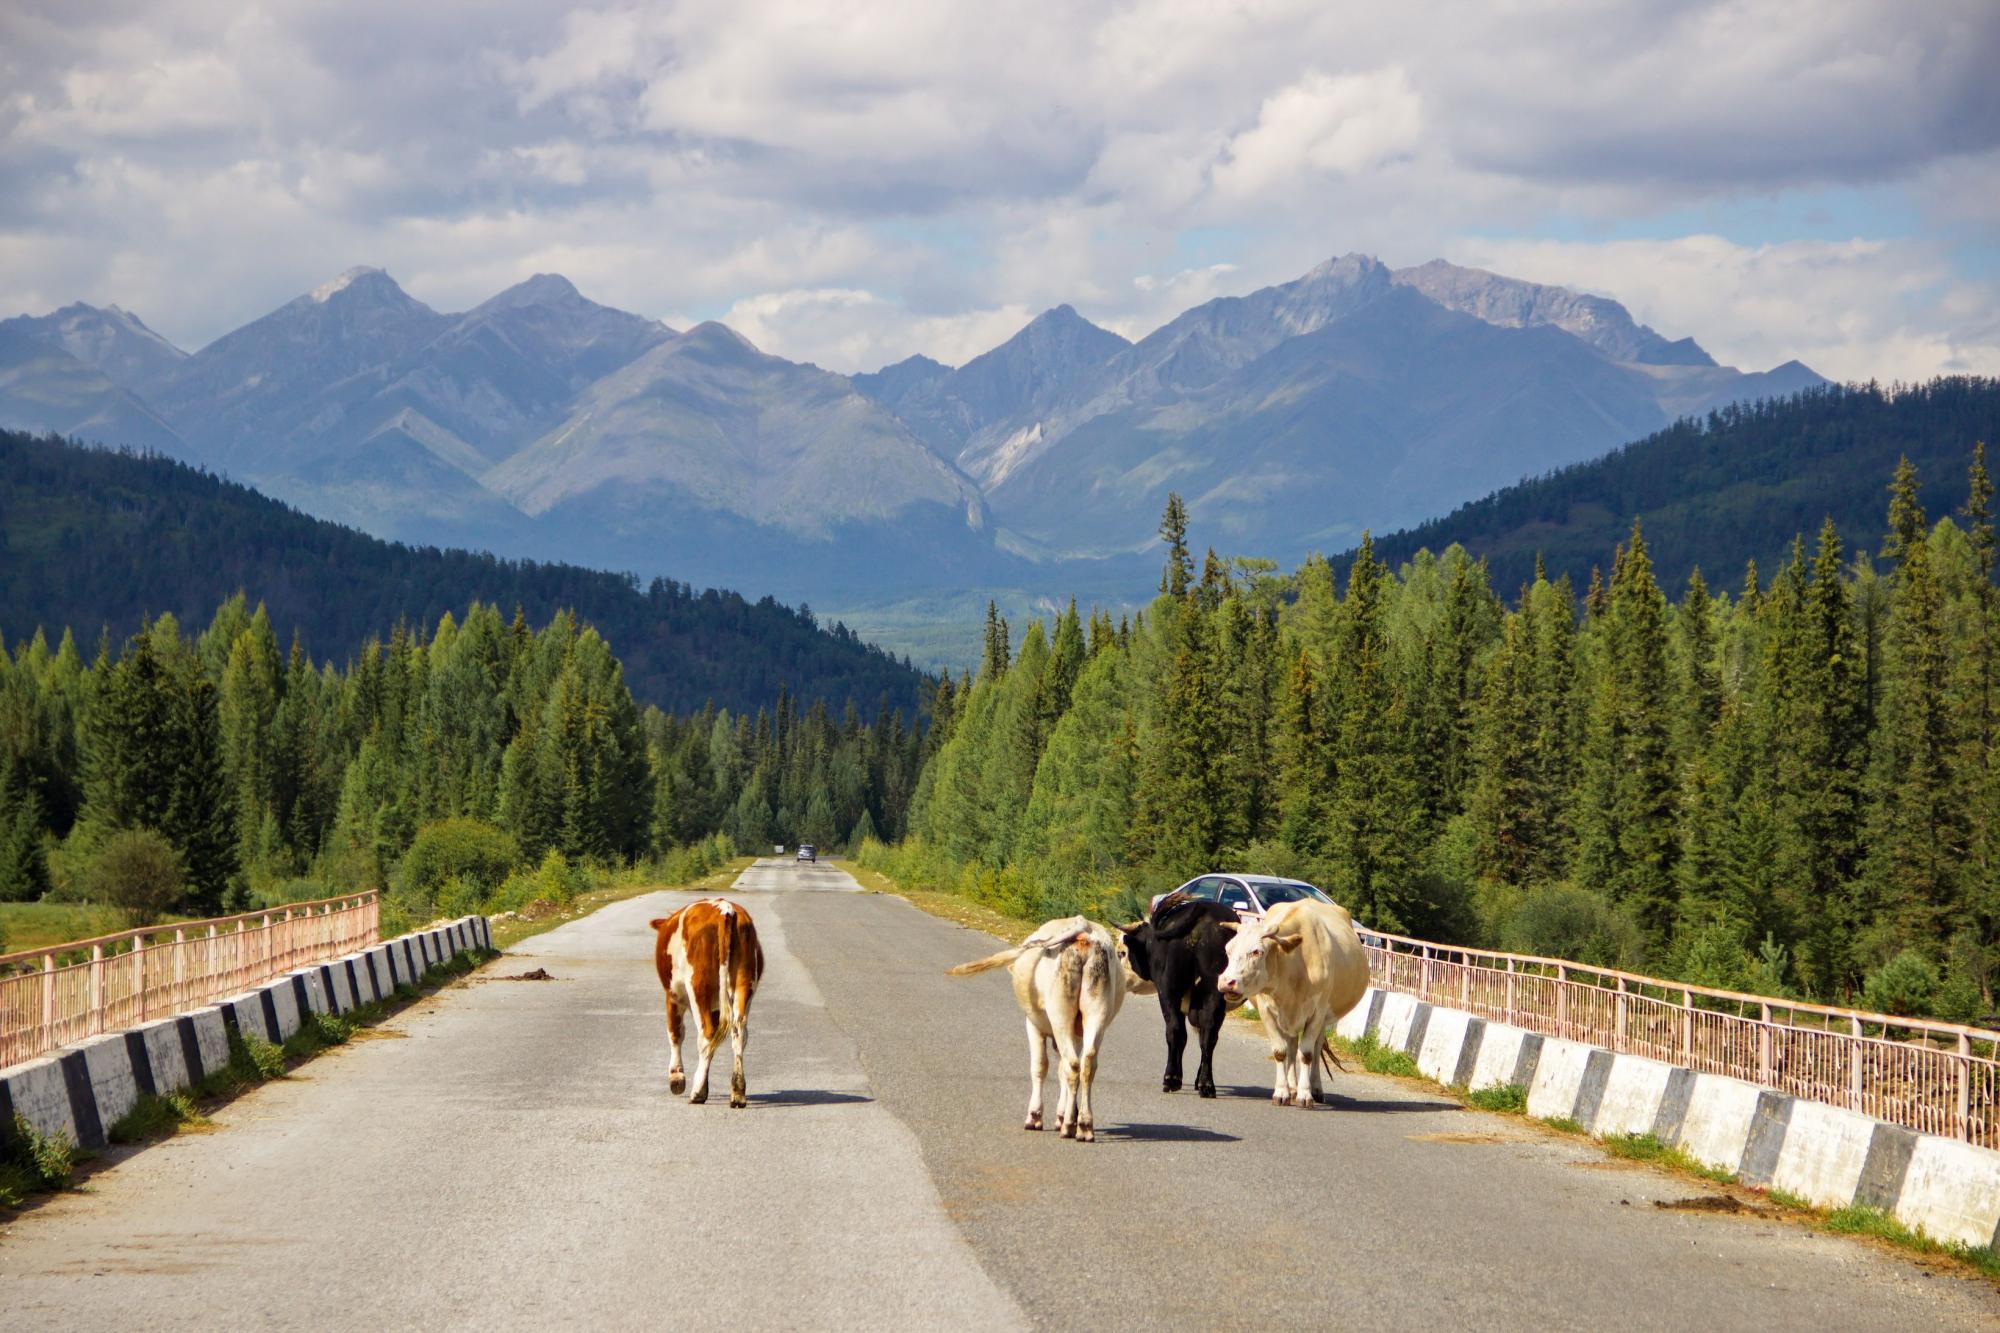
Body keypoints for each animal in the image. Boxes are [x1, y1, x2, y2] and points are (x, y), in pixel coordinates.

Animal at [652, 896, 760, 1104]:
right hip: (744, 983)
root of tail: (725, 909)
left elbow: (675, 1032)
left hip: (698, 987)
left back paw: (697, 1093)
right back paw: (737, 1092)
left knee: (707, 1033)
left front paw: (677, 1078)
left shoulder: (672, 995)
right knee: (739, 1031)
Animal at [952, 912, 1160, 1144]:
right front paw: (1062, 1115)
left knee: (1072, 1064)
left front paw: (1036, 1116)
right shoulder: (1077, 1034)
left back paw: (1070, 1125)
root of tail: (1084, 928)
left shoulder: (1033, 1025)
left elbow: (1040, 1067)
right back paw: (1084, 1125)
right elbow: (1062, 1071)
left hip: (1060, 1016)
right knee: (1086, 1064)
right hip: (1096, 1013)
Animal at [1120, 892, 1240, 1088]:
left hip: (1169, 990)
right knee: (1208, 1035)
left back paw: (1171, 1078)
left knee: (1175, 1030)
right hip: (1215, 992)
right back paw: (1206, 1084)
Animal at [1208, 896, 1368, 1104]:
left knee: (1315, 1048)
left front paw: (1305, 1094)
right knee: (1291, 1047)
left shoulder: (1317, 1014)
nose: (1227, 982)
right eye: (1228, 950)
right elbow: (1280, 1051)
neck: (1295, 965)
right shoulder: (1267, 1011)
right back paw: (1292, 1087)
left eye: (1257, 951)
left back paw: (1315, 1088)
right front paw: (1282, 1091)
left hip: (1323, 1019)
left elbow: (1307, 1054)